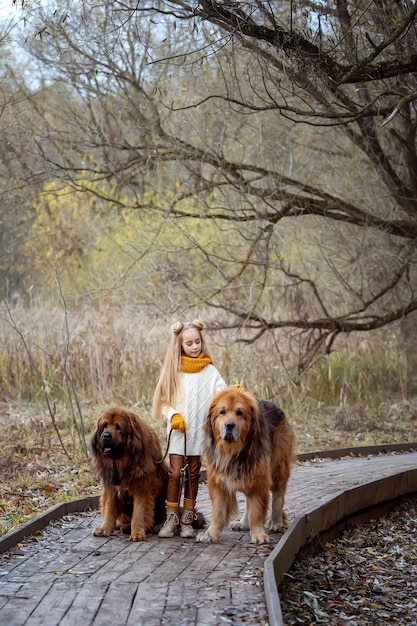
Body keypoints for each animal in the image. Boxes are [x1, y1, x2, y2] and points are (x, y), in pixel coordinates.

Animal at [90, 408, 168, 540]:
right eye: (105, 426)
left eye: (118, 427)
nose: (106, 436)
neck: (120, 464)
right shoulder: (111, 488)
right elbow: (109, 510)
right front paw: (105, 528)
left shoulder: (141, 489)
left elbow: (138, 514)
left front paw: (137, 533)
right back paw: (124, 526)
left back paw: (158, 526)